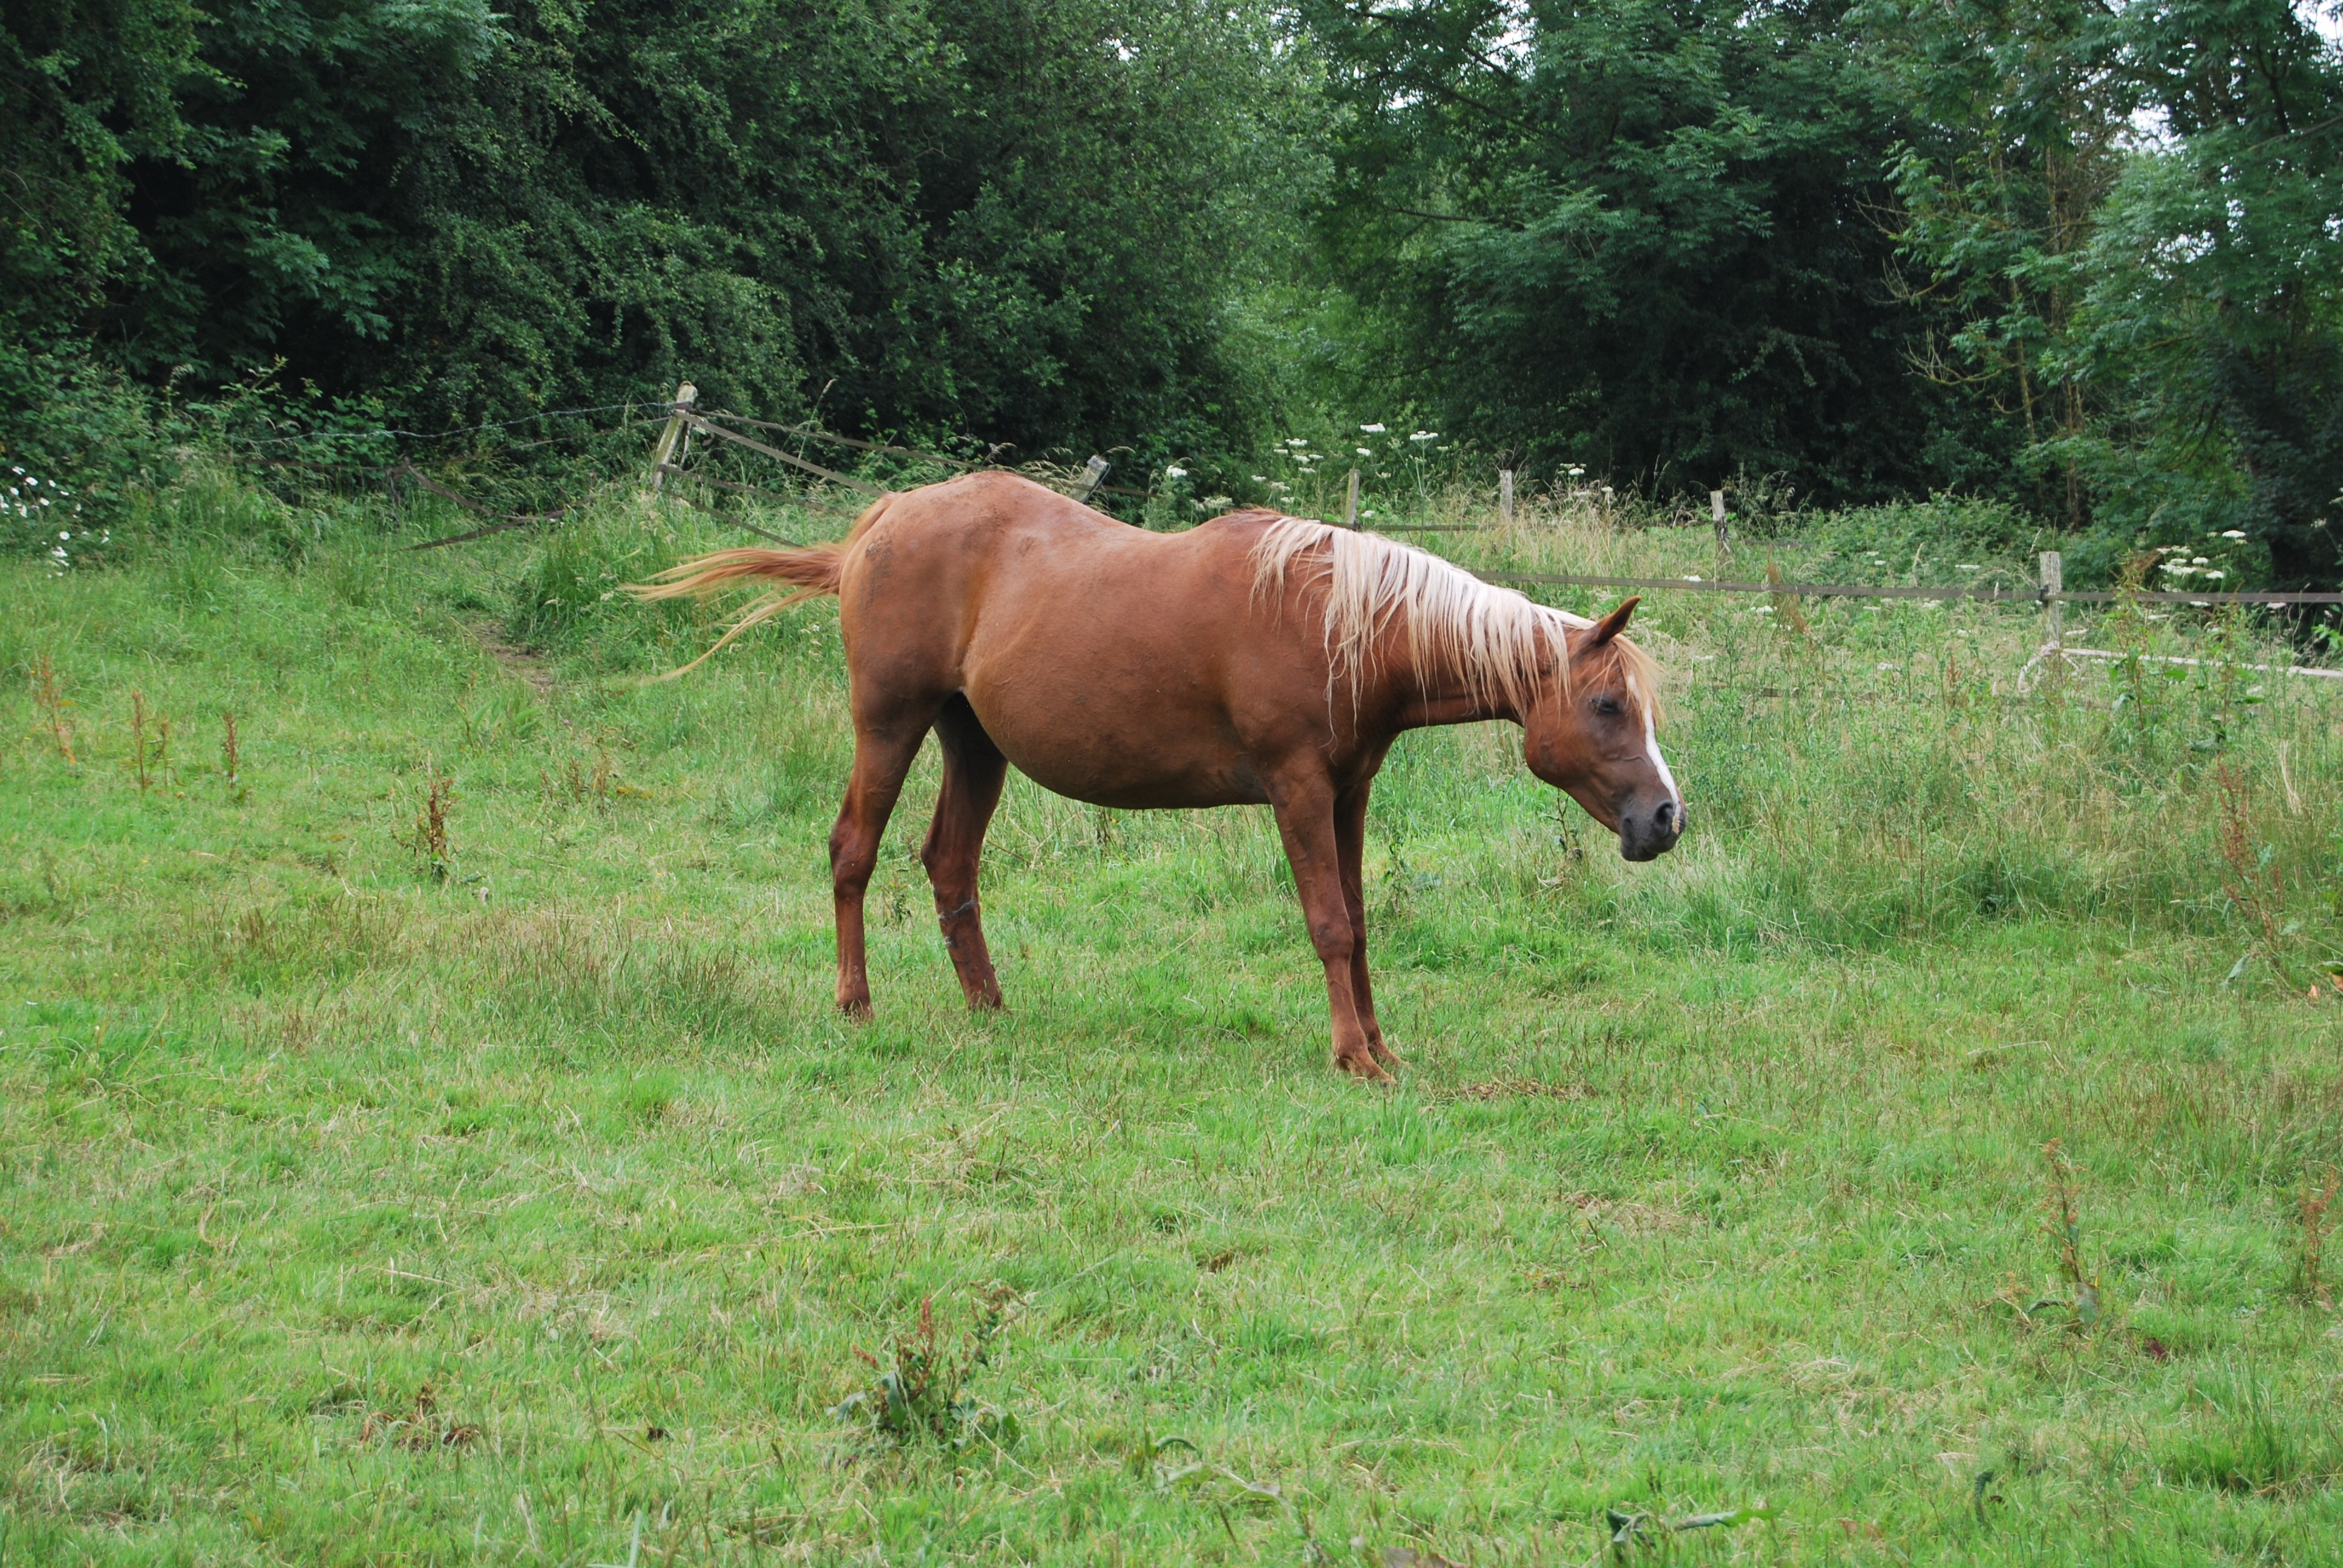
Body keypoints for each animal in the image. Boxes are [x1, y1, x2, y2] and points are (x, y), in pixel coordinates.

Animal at [632, 468, 1677, 1078]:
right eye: (1606, 706)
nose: (1665, 818)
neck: (1344, 621)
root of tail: (884, 519)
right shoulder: (1298, 789)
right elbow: (1331, 925)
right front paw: (1353, 1057)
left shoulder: (1349, 792)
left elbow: (1361, 922)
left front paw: (1381, 1044)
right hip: (889, 724)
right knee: (853, 851)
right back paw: (855, 1005)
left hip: (976, 745)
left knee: (949, 865)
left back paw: (990, 1009)